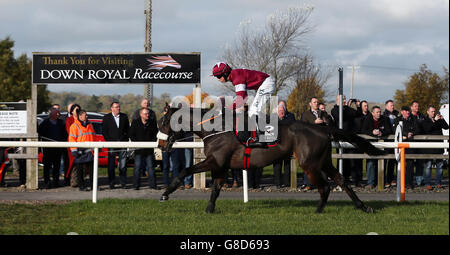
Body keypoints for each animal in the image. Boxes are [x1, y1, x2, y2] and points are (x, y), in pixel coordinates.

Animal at [157, 105, 384, 213]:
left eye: (164, 122)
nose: (159, 145)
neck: (216, 130)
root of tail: (322, 128)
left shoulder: (215, 161)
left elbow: (184, 171)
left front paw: (165, 194)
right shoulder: (221, 166)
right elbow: (216, 189)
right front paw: (209, 210)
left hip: (309, 163)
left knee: (326, 186)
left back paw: (319, 210)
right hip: (324, 161)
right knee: (341, 180)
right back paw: (364, 207)